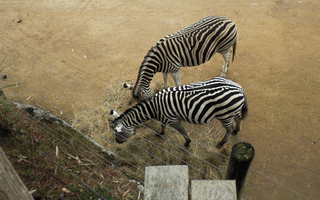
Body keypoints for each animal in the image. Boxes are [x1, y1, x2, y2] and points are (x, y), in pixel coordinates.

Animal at [112, 77, 248, 149]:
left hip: (224, 115)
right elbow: (162, 125)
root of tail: (239, 88)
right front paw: (161, 133)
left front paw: (187, 143)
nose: (117, 142)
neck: (155, 108)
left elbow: (182, 132)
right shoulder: (164, 117)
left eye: (119, 133)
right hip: (233, 111)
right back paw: (237, 130)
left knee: (229, 127)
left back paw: (221, 143)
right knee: (238, 118)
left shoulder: (173, 120)